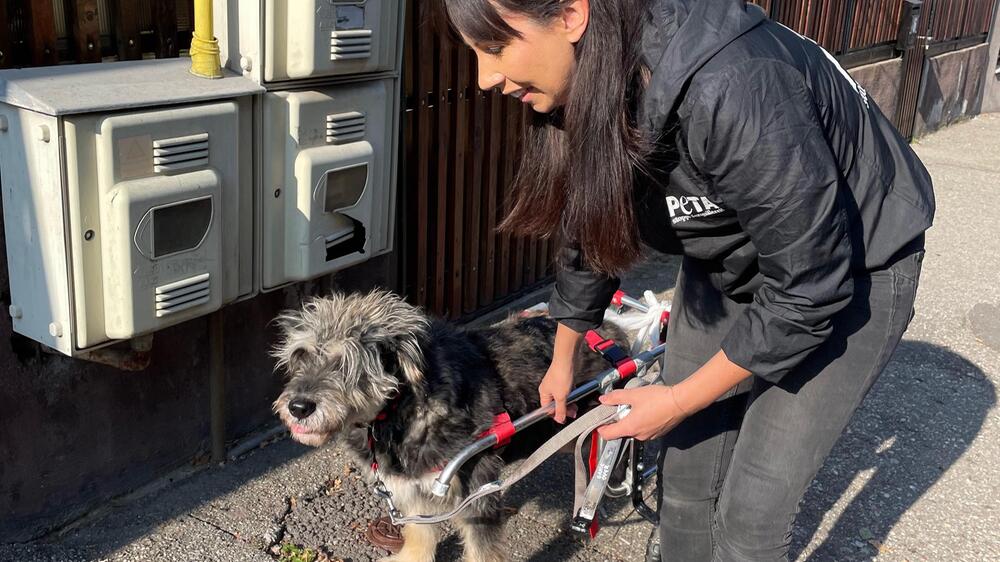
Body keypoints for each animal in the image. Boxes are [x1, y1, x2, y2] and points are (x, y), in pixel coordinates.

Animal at [274, 288, 616, 560]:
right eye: (300, 355)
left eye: (346, 363)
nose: (298, 407)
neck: (399, 409)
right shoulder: (410, 486)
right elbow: (419, 533)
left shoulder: (476, 491)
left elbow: (482, 551)